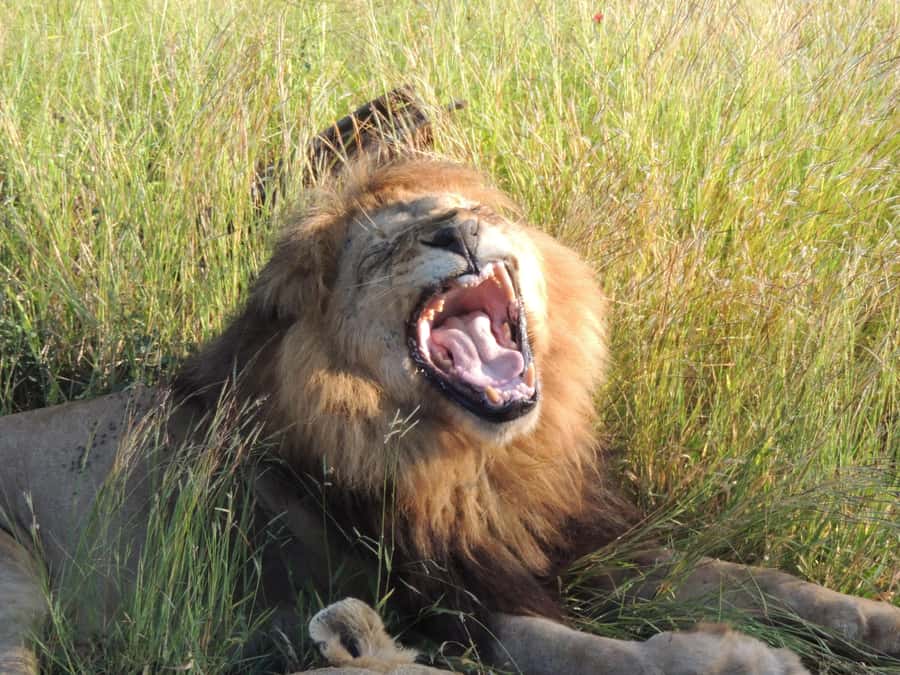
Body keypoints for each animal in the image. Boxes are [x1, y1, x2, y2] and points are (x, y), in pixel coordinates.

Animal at [1, 158, 898, 675]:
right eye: (384, 248)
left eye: (470, 208)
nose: (459, 230)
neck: (479, 462)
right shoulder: (439, 610)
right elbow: (579, 649)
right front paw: (738, 660)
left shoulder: (564, 547)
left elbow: (758, 578)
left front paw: (876, 620)